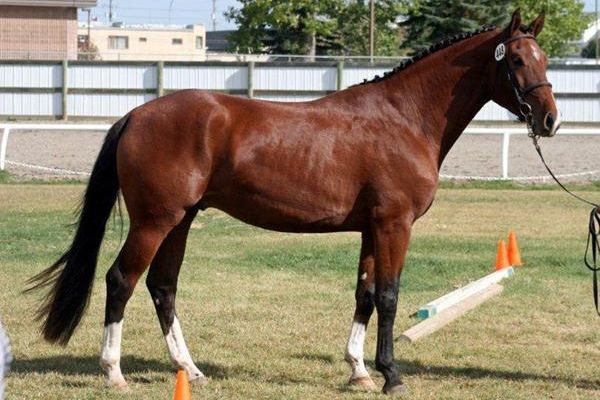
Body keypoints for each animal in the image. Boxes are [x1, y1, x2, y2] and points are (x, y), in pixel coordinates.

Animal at [30, 10, 560, 396]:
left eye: (545, 59)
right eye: (516, 61)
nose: (550, 120)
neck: (403, 118)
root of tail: (137, 114)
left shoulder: (371, 228)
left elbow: (365, 295)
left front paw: (358, 370)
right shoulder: (395, 225)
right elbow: (389, 297)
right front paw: (391, 374)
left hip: (179, 221)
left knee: (163, 287)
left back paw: (191, 369)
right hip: (154, 222)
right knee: (121, 280)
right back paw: (113, 371)